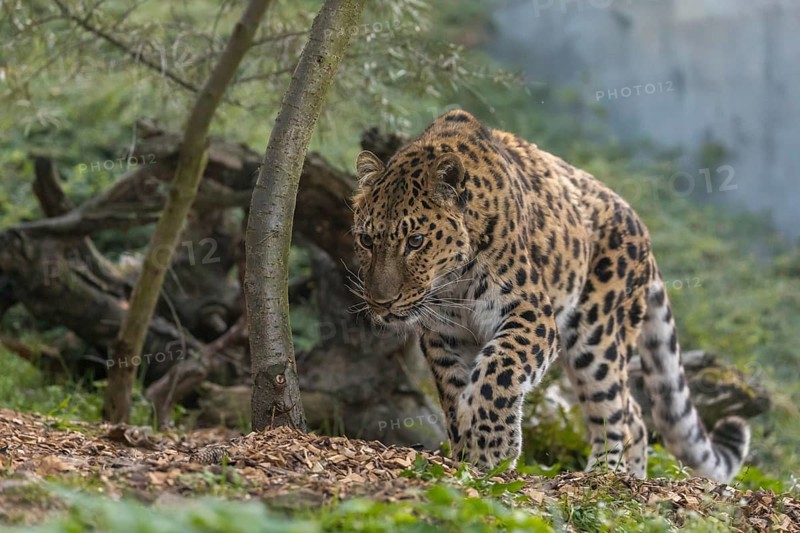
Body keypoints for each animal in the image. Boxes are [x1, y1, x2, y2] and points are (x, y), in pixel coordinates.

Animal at [350, 109, 750, 482]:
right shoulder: (445, 335)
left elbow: (499, 369)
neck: (452, 282)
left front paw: (492, 448)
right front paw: (466, 446)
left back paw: (603, 476)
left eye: (416, 241)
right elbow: (455, 391)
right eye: (366, 240)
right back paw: (630, 477)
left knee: (618, 412)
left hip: (598, 340)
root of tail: (645, 235)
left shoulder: (531, 314)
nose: (381, 302)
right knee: (634, 415)